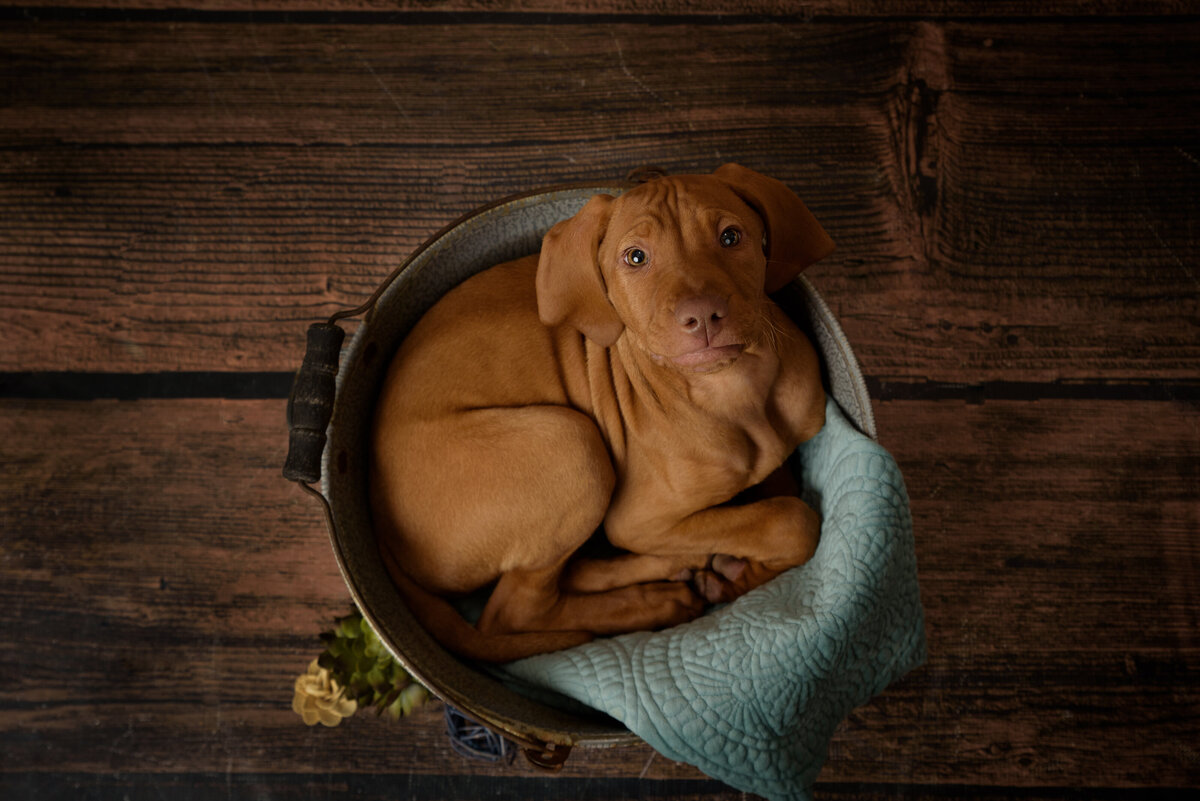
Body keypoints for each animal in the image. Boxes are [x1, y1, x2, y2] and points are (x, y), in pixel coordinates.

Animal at [372, 164, 835, 661]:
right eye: (635, 258)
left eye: (731, 236)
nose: (703, 315)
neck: (733, 391)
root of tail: (380, 518)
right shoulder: (639, 519)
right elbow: (791, 520)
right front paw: (740, 568)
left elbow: (779, 491)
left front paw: (738, 575)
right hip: (571, 447)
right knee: (514, 611)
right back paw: (657, 598)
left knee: (563, 576)